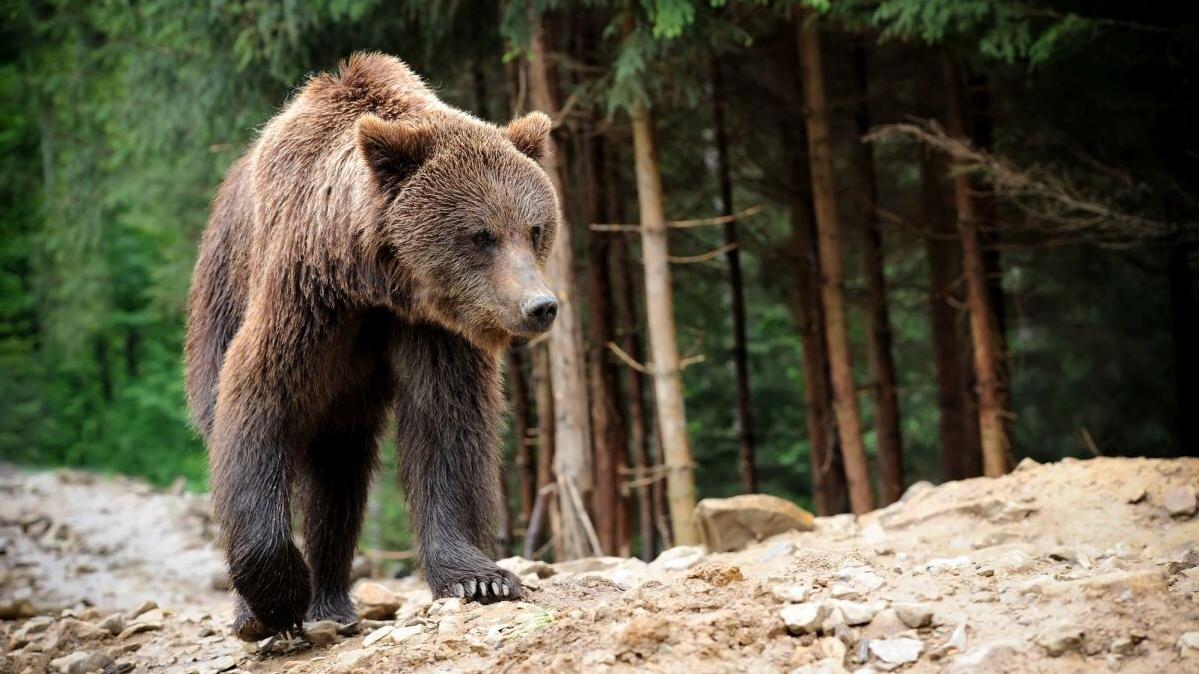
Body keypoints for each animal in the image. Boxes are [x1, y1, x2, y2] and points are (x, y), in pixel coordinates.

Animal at [184, 49, 558, 638]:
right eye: (481, 235)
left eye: (535, 227)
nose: (540, 306)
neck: (375, 281)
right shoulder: (305, 300)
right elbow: (257, 402)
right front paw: (276, 602)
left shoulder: (432, 329)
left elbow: (446, 427)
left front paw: (480, 579)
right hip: (216, 298)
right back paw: (269, 611)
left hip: (345, 402)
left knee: (339, 478)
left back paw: (333, 602)